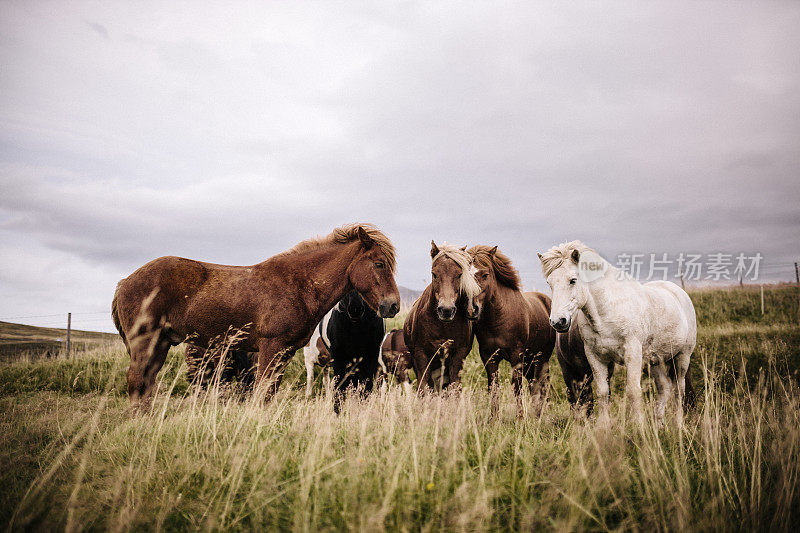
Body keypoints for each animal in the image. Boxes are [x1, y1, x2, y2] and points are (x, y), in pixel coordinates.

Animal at [112, 222, 400, 406]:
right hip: (146, 343)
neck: (298, 284)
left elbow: (269, 392)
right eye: (379, 264)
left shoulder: (285, 351)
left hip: (160, 344)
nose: (393, 305)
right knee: (137, 382)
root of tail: (126, 281)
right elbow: (263, 392)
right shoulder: (271, 347)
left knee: (146, 384)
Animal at [404, 241, 478, 390]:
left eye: (459, 275)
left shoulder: (457, 357)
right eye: (434, 274)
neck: (442, 326)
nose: (446, 310)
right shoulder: (421, 356)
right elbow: (423, 387)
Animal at [468, 245, 556, 416]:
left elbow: (517, 388)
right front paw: (494, 418)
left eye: (485, 274)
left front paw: (520, 418)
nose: (471, 309)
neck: (498, 319)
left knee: (540, 385)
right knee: (535, 385)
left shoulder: (516, 356)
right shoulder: (488, 356)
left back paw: (538, 414)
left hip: (541, 359)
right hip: (531, 361)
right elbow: (494, 387)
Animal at [540, 239, 696, 422]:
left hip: (682, 357)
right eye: (550, 283)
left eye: (572, 280)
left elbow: (633, 391)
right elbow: (602, 393)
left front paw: (638, 425)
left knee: (679, 390)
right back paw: (659, 424)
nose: (558, 321)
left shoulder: (632, 354)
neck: (607, 311)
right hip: (653, 361)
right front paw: (604, 425)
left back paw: (678, 424)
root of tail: (678, 292)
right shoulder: (595, 357)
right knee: (664, 387)